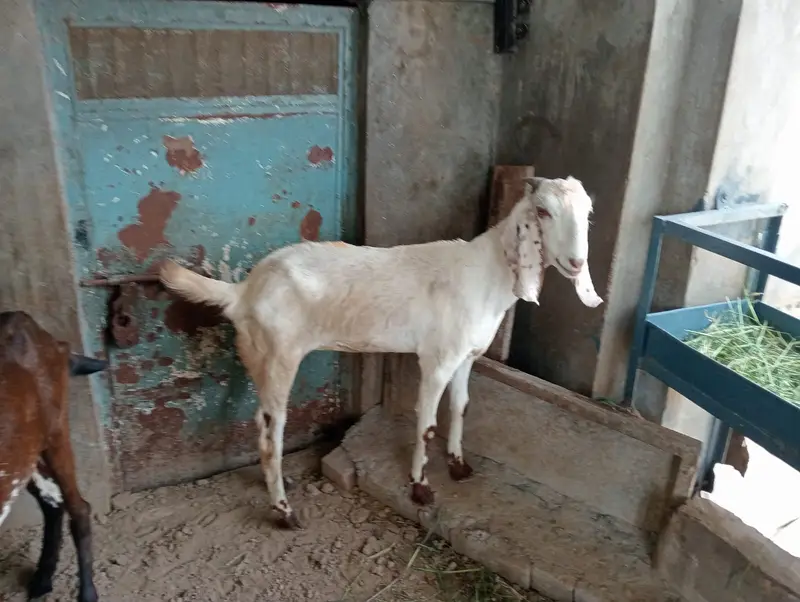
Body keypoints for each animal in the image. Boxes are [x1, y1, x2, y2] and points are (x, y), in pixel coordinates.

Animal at [0, 311, 108, 602]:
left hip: (56, 429)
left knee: (78, 507)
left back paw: (87, 594)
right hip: (28, 449)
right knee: (52, 501)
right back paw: (42, 580)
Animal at [161, 176, 603, 529]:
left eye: (588, 214)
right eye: (543, 211)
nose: (576, 262)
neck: (488, 273)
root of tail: (243, 291)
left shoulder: (466, 356)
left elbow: (460, 408)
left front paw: (458, 466)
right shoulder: (437, 359)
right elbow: (426, 424)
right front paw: (420, 487)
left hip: (258, 357)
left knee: (260, 422)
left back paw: (276, 481)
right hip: (280, 356)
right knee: (273, 434)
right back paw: (284, 512)